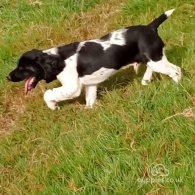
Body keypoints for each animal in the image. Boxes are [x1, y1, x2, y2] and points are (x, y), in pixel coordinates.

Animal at [7, 9, 181, 109]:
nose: (8, 77)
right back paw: (145, 80)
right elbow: (90, 101)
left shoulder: (73, 87)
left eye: (23, 68)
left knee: (176, 70)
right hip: (153, 59)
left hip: (157, 60)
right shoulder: (90, 85)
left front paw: (53, 106)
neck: (57, 59)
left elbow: (48, 94)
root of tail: (150, 27)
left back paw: (177, 85)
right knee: (154, 67)